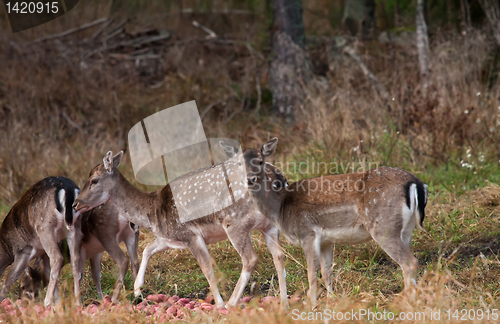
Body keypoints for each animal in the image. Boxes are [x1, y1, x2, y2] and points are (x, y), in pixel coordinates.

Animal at [0, 177, 82, 306]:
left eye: (23, 286)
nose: (24, 300)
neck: (6, 247)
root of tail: (67, 188)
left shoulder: (23, 250)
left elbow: (9, 279)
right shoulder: (42, 253)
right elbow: (48, 272)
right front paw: (58, 304)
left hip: (45, 229)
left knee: (57, 257)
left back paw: (46, 302)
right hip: (75, 226)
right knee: (75, 260)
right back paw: (77, 303)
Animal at [72, 151, 288, 308]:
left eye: (94, 180)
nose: (75, 203)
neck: (152, 213)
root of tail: (278, 177)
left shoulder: (189, 234)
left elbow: (207, 269)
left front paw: (219, 304)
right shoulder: (170, 237)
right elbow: (147, 249)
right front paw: (137, 289)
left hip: (235, 222)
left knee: (250, 258)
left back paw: (232, 302)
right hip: (269, 225)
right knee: (279, 256)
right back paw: (285, 304)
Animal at [221, 137, 428, 306]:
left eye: (261, 161)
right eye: (239, 164)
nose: (250, 179)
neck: (281, 208)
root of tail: (417, 184)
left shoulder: (308, 234)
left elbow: (311, 274)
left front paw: (312, 305)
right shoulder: (326, 241)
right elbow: (327, 272)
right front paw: (331, 301)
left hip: (384, 227)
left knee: (410, 263)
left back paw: (406, 302)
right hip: (406, 230)